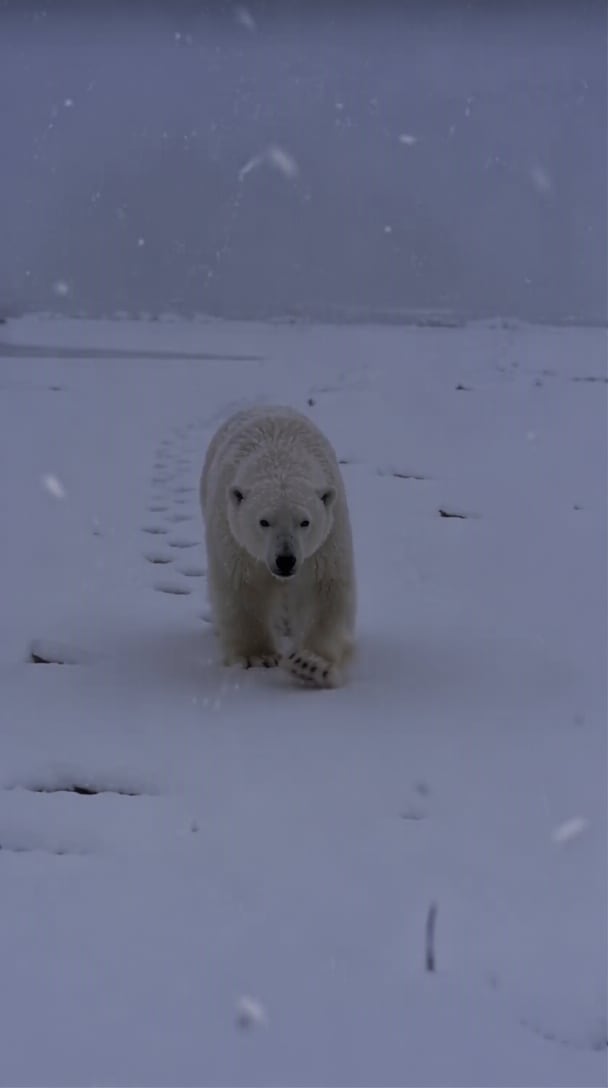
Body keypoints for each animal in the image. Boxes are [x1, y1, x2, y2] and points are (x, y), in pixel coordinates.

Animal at [200, 405, 356, 688]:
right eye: (264, 521)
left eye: (305, 521)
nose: (286, 560)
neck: (279, 456)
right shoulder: (234, 538)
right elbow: (243, 587)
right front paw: (257, 657)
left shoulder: (327, 537)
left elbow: (322, 588)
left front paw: (310, 663)